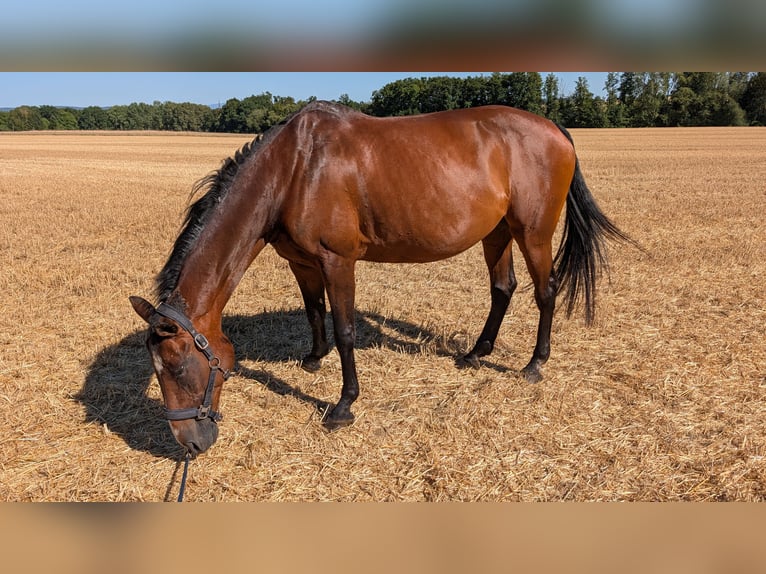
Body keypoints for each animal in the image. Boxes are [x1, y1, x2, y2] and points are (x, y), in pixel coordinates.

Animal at [130, 100, 630, 456]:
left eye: (177, 366)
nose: (190, 444)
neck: (294, 168)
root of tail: (555, 129)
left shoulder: (338, 261)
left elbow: (345, 328)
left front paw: (344, 404)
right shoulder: (302, 262)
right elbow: (314, 312)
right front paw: (314, 358)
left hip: (533, 232)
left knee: (546, 291)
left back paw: (534, 364)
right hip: (498, 232)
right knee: (502, 288)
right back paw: (475, 353)